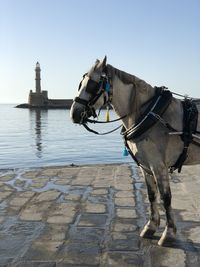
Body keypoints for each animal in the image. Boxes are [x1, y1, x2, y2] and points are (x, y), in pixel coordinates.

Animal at [70, 56, 200, 247]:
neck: (151, 113)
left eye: (93, 85)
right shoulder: (145, 166)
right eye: (81, 83)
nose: (74, 113)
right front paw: (151, 227)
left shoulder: (158, 166)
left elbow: (166, 198)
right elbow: (152, 195)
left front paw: (168, 233)